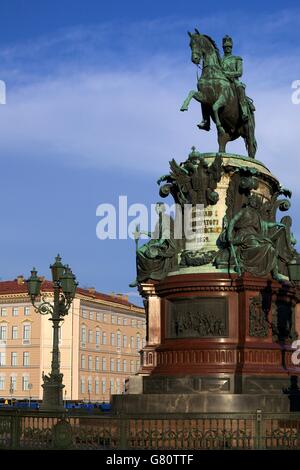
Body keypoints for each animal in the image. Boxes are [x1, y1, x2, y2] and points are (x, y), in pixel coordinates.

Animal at [179, 31, 256, 160]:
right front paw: (184, 106)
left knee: (251, 147)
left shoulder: (223, 99)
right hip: (231, 133)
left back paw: (250, 159)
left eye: (199, 43)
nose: (194, 59)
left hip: (248, 128)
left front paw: (219, 124)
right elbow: (192, 92)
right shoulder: (204, 98)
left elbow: (215, 107)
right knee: (222, 141)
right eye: (190, 45)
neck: (212, 73)